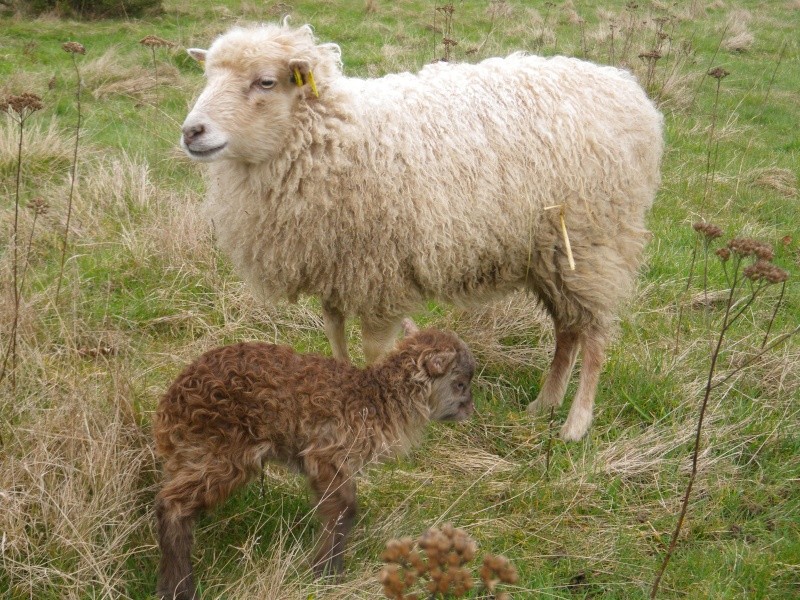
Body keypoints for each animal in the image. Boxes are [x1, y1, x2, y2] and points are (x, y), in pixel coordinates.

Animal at [155, 322, 476, 596]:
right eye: (460, 384)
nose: (470, 409)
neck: (376, 401)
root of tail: (170, 406)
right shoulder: (326, 453)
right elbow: (344, 509)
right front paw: (326, 573)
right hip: (221, 452)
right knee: (171, 505)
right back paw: (179, 587)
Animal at [180, 22, 664, 440]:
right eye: (208, 76)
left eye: (265, 82)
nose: (191, 132)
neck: (339, 136)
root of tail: (626, 88)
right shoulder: (333, 265)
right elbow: (335, 338)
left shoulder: (380, 275)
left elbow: (375, 352)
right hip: (548, 252)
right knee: (568, 329)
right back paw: (544, 404)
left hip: (593, 241)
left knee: (595, 334)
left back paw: (576, 423)